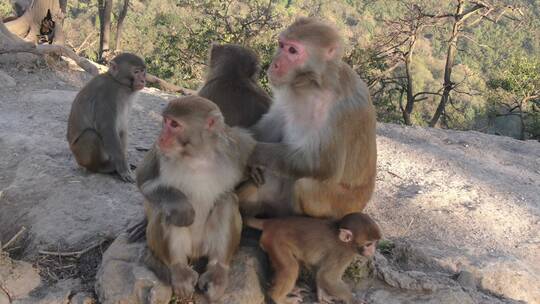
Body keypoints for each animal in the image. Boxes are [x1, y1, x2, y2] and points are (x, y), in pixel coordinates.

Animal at [66, 51, 147, 183]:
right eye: (136, 72)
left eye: (143, 71)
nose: (143, 79)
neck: (118, 83)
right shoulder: (107, 93)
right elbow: (108, 129)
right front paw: (123, 169)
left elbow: (122, 127)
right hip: (79, 154)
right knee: (91, 135)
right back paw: (101, 167)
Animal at [240, 17, 376, 218]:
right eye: (281, 45)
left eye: (293, 51)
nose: (275, 64)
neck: (311, 86)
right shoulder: (286, 92)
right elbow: (271, 126)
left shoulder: (341, 110)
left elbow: (324, 165)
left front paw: (250, 150)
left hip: (341, 205)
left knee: (306, 184)